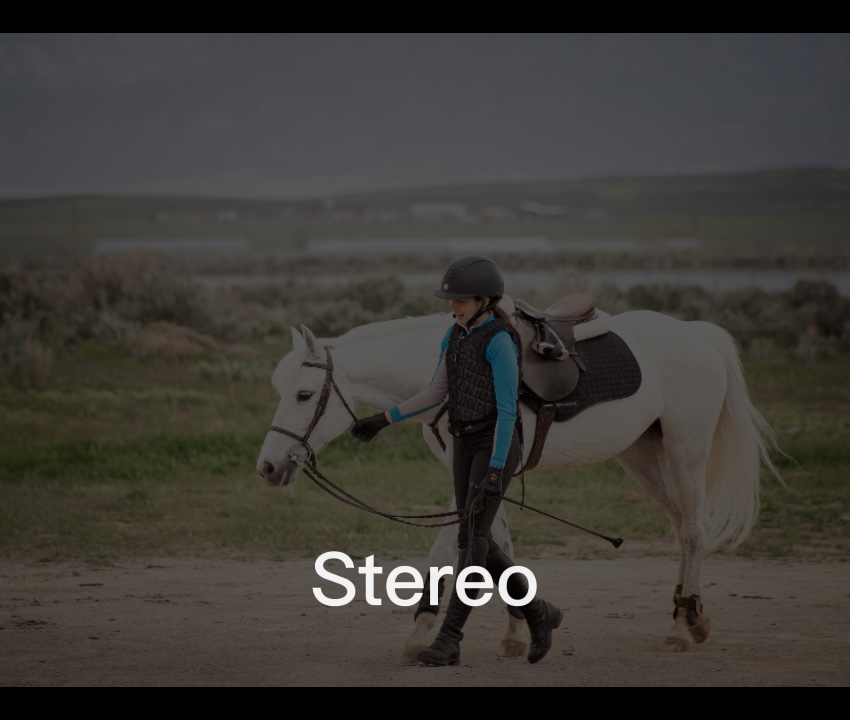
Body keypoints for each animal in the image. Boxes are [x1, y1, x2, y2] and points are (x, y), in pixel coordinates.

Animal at [255, 295, 783, 661]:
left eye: (304, 395)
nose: (268, 466)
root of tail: (697, 334)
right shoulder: (482, 476)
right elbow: (495, 545)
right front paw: (518, 629)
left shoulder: (481, 475)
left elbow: (451, 548)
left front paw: (422, 630)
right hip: (644, 457)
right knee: (682, 527)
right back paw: (692, 618)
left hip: (684, 451)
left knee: (694, 531)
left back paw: (679, 628)